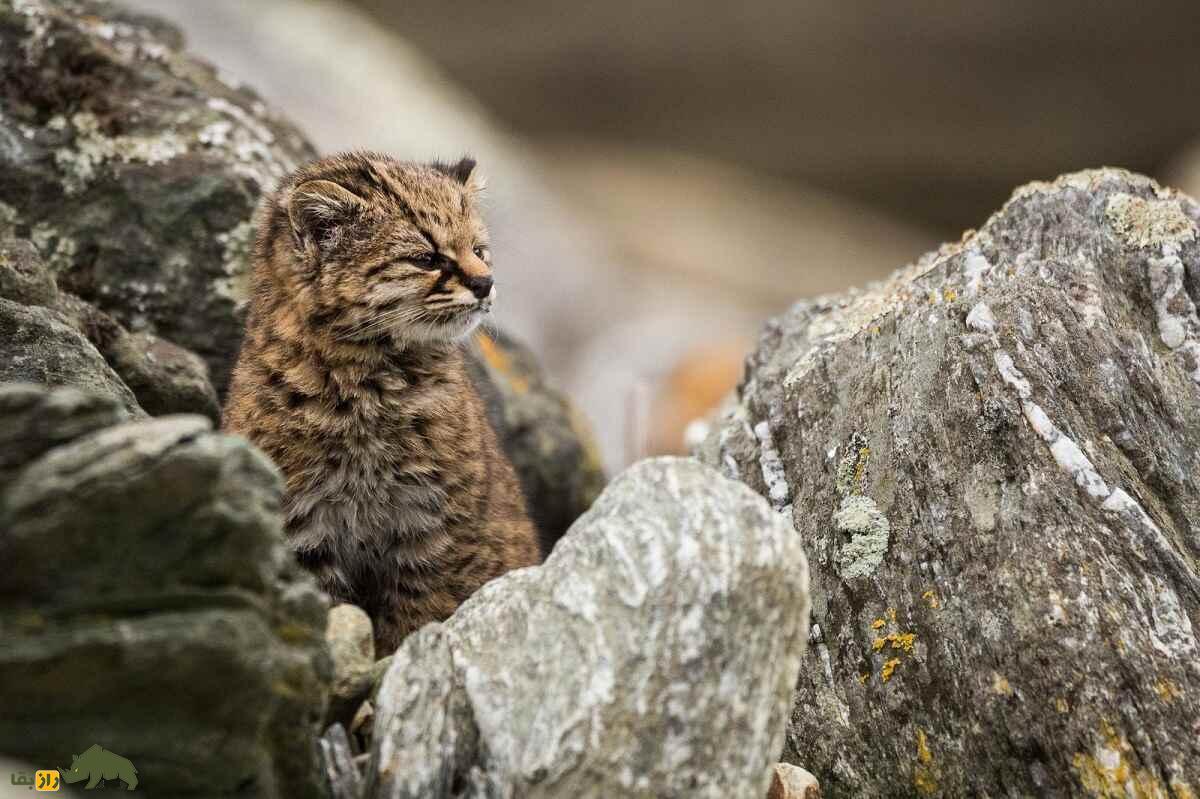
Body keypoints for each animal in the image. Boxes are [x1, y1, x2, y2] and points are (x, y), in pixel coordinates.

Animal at [224, 152, 540, 652]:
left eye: (479, 250)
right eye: (427, 257)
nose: (487, 282)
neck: (366, 389)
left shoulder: (435, 532)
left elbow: (418, 620)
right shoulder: (304, 531)